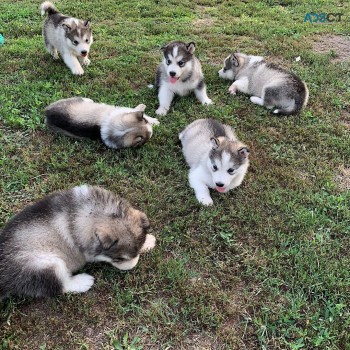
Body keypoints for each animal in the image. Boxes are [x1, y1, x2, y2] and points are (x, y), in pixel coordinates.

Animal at [0, 185, 156, 300]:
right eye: (119, 259)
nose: (132, 267)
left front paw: (148, 241)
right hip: (44, 265)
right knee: (59, 285)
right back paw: (83, 281)